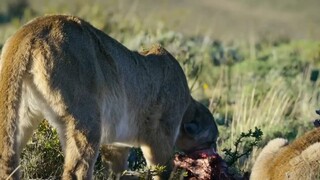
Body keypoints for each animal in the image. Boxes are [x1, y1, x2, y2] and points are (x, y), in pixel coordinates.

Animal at [0, 14, 218, 179]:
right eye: (213, 139)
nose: (216, 151)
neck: (188, 106)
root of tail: (29, 31)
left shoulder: (116, 145)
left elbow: (116, 170)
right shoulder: (159, 140)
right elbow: (163, 169)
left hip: (22, 116)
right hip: (87, 122)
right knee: (76, 170)